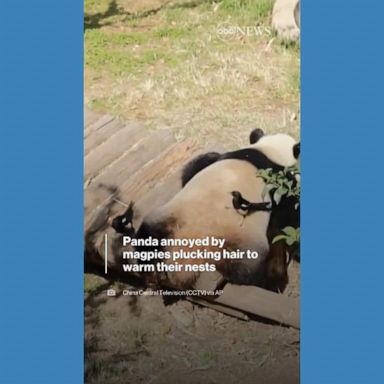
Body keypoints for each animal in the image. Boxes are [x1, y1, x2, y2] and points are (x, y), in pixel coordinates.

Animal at [112, 129, 298, 292]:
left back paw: (151, 272)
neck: (270, 151)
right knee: (247, 272)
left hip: (168, 220)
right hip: (240, 243)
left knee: (147, 237)